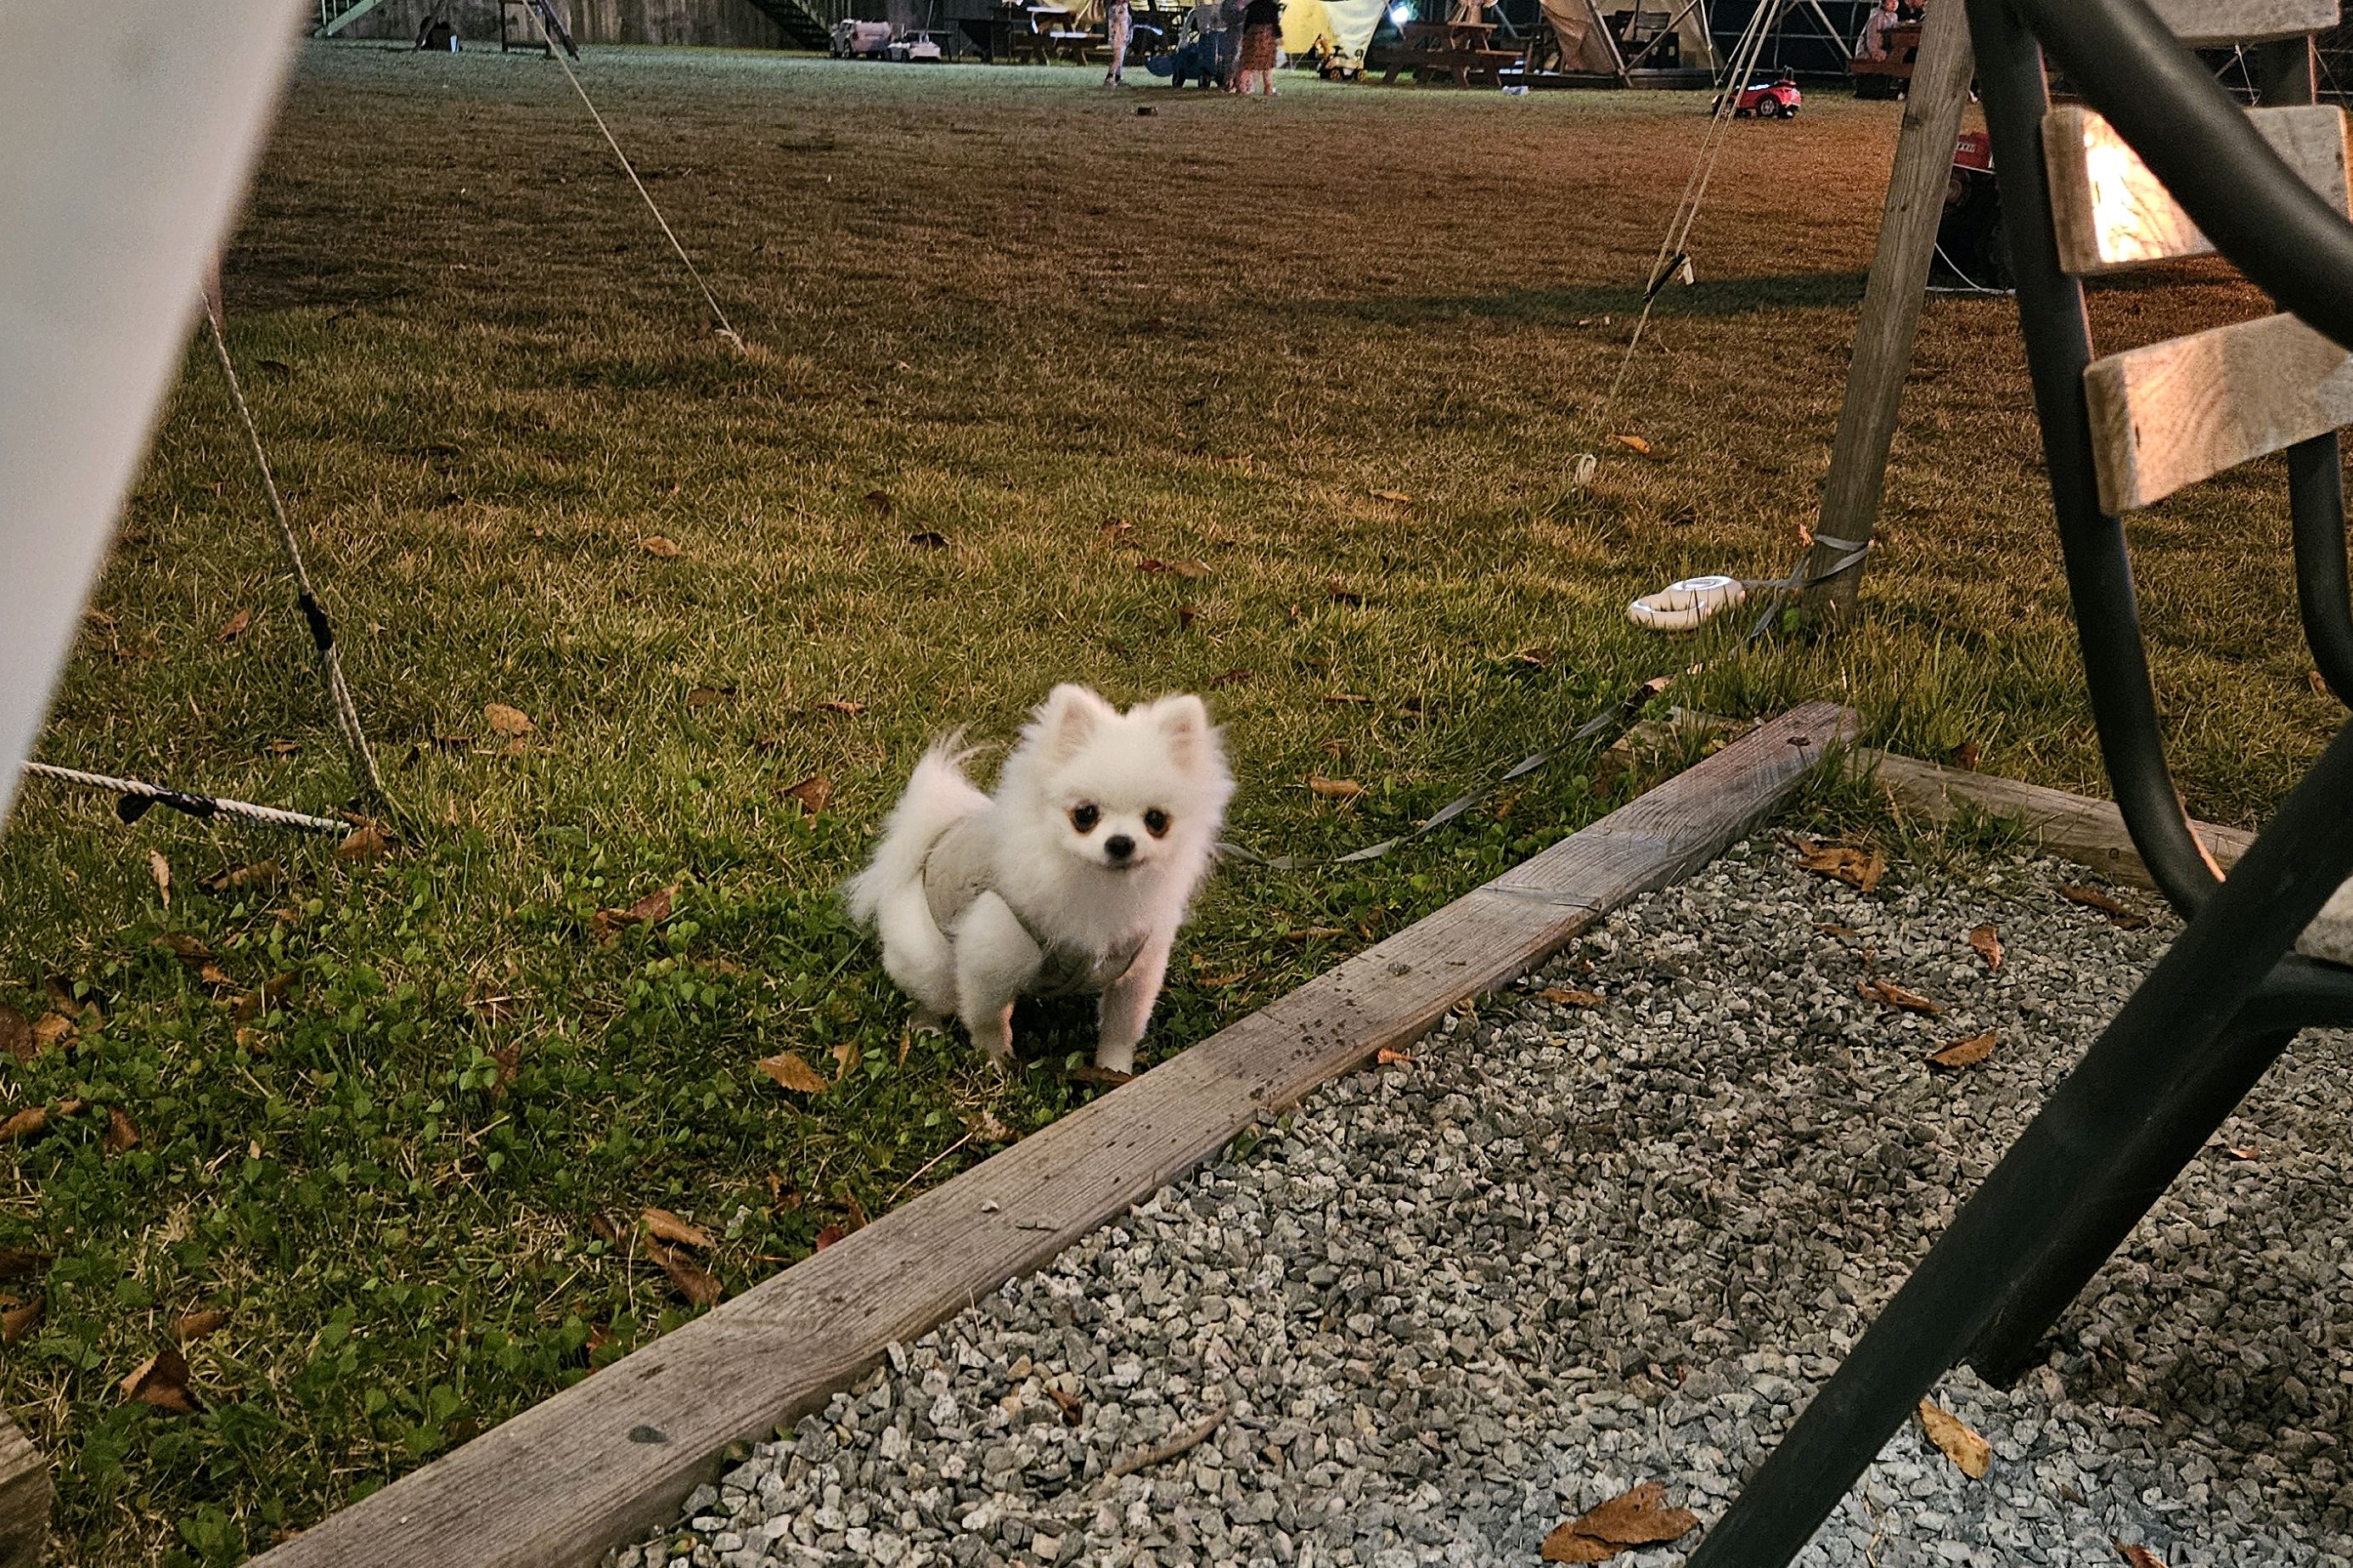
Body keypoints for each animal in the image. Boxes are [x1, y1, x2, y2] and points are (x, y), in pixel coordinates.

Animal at [842, 686, 1233, 1081]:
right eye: (1085, 815)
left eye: (1156, 820)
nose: (1121, 843)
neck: (1097, 884)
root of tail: (934, 838)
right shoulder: (989, 959)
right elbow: (988, 1021)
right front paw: (996, 1063)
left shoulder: (1138, 970)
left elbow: (1122, 1027)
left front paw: (1114, 1069)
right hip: (930, 963)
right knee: (933, 994)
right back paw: (927, 1026)